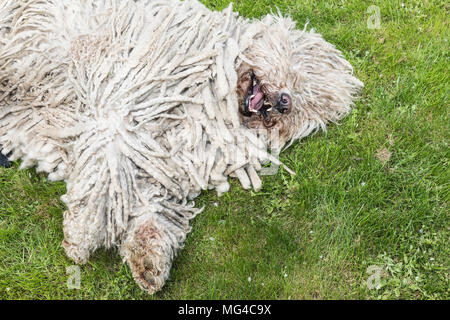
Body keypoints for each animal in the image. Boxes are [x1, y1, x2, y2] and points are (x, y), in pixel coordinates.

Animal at [0, 0, 360, 296]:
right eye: (295, 71)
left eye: (306, 109)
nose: (286, 103)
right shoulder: (125, 110)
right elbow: (108, 173)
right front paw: (83, 232)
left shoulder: (161, 158)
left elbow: (147, 199)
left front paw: (148, 256)